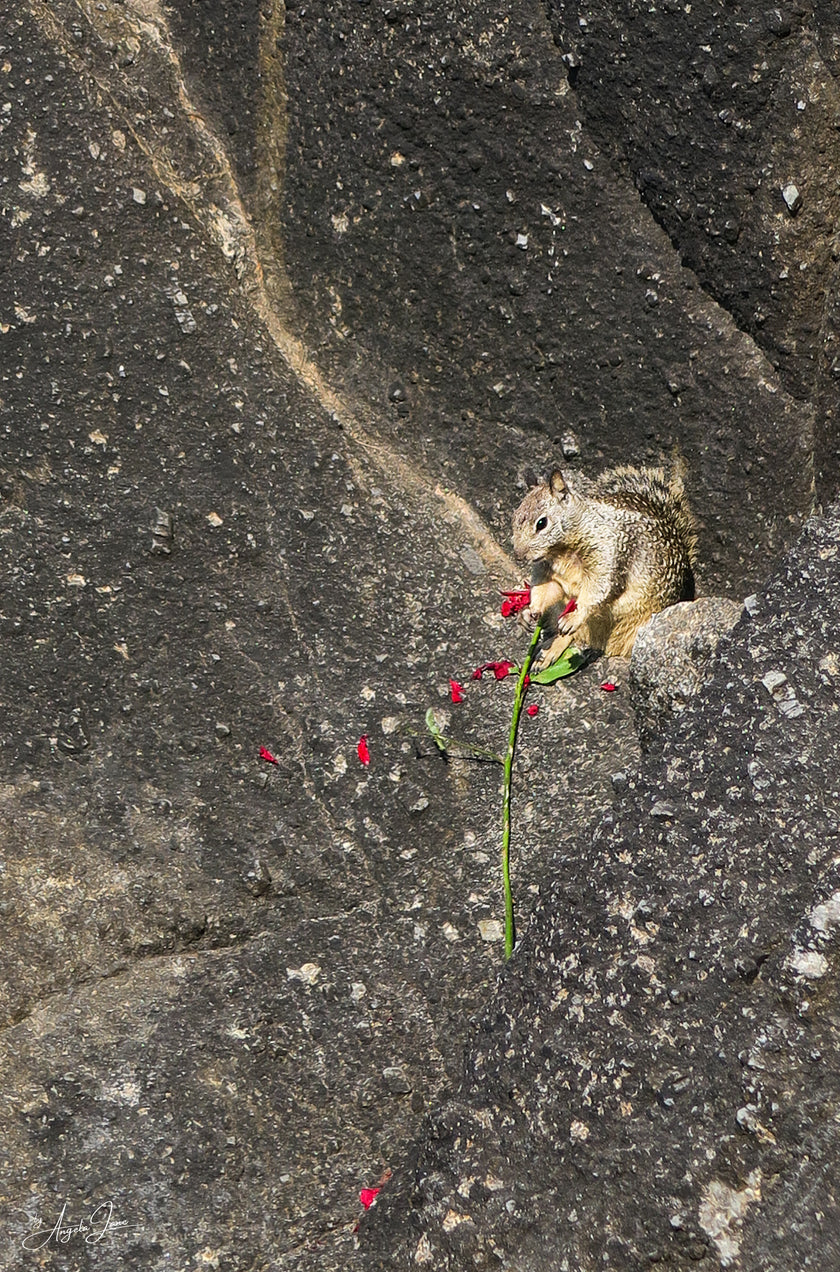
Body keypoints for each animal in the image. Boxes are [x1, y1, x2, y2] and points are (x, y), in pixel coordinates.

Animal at [511, 462, 698, 667]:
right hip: (560, 609)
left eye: (541, 523)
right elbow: (545, 592)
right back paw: (548, 652)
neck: (561, 553)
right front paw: (530, 612)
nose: (518, 554)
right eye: (515, 517)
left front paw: (575, 616)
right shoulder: (548, 573)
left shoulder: (608, 555)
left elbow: (597, 590)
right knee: (570, 636)